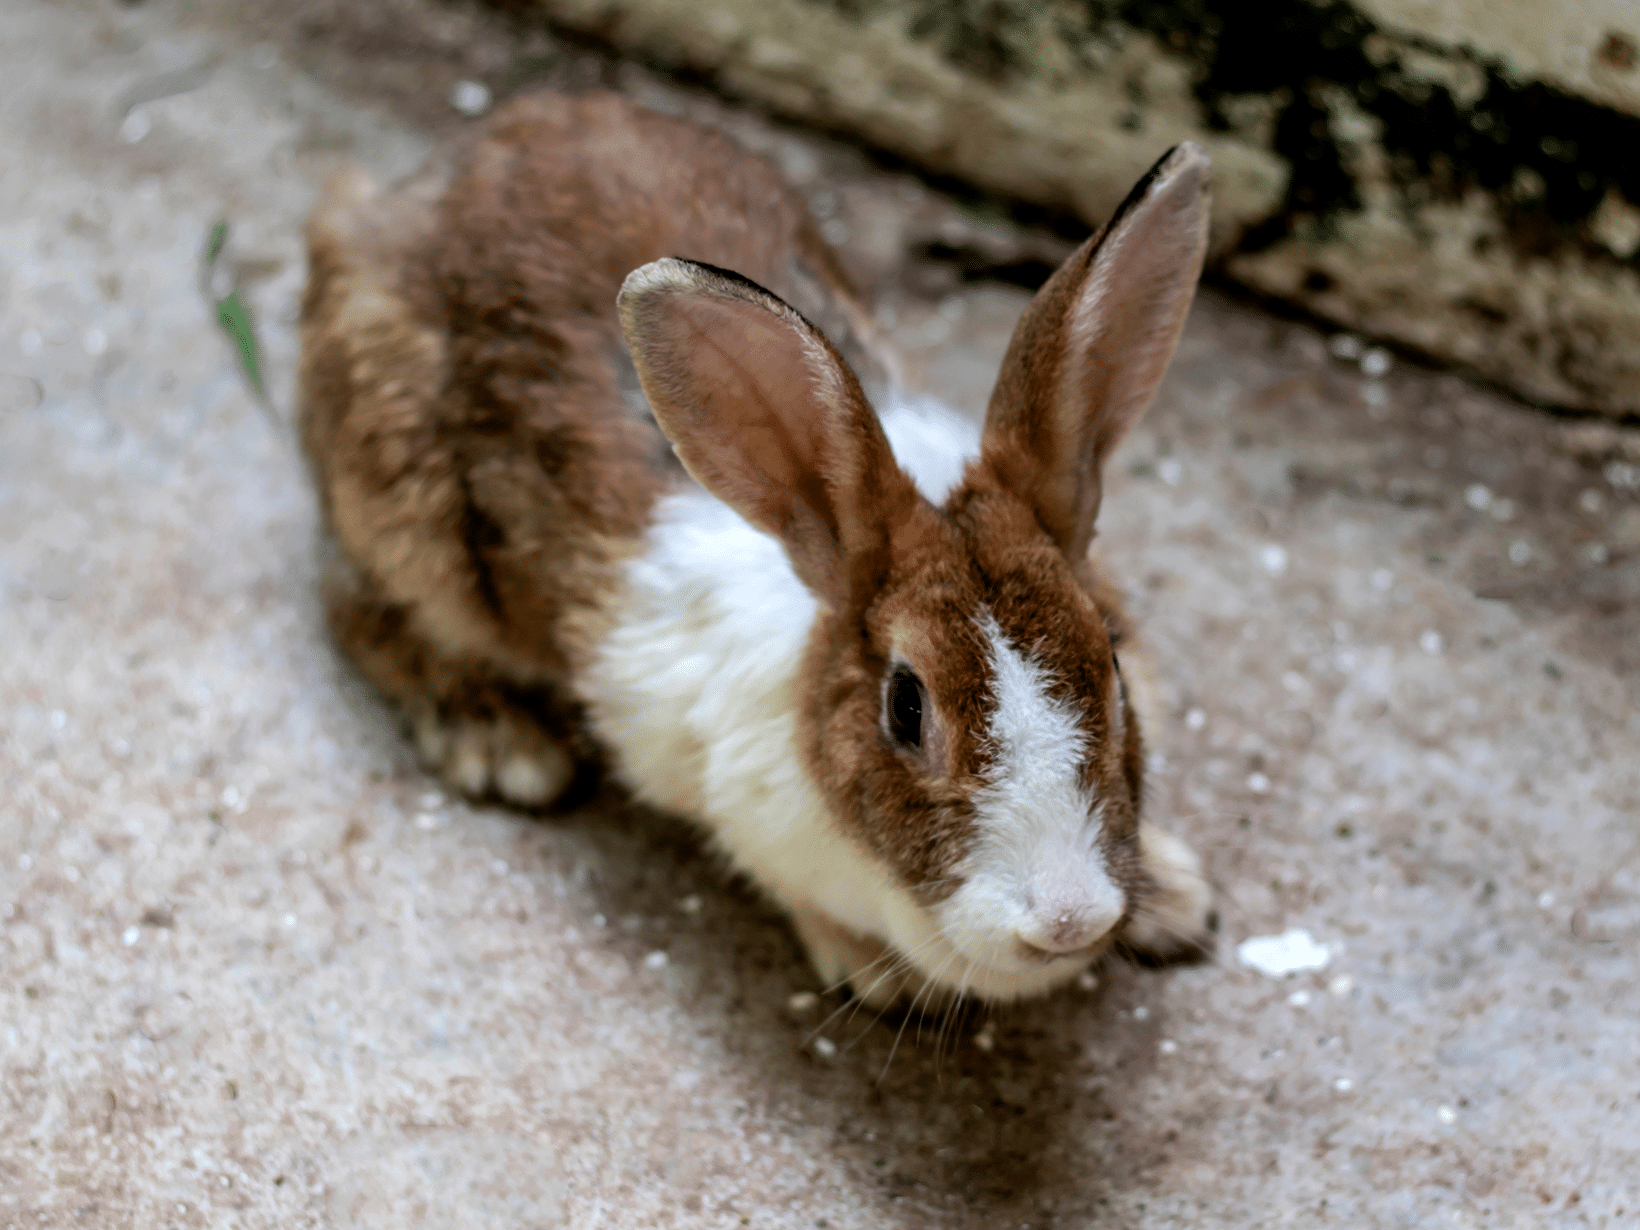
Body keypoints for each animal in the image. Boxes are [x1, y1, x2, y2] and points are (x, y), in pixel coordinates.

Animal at [301, 88, 1213, 1010]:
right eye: (906, 706)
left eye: (1113, 659)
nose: (1069, 920)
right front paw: (866, 966)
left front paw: (1178, 901)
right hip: (407, 519)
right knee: (357, 608)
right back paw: (498, 742)